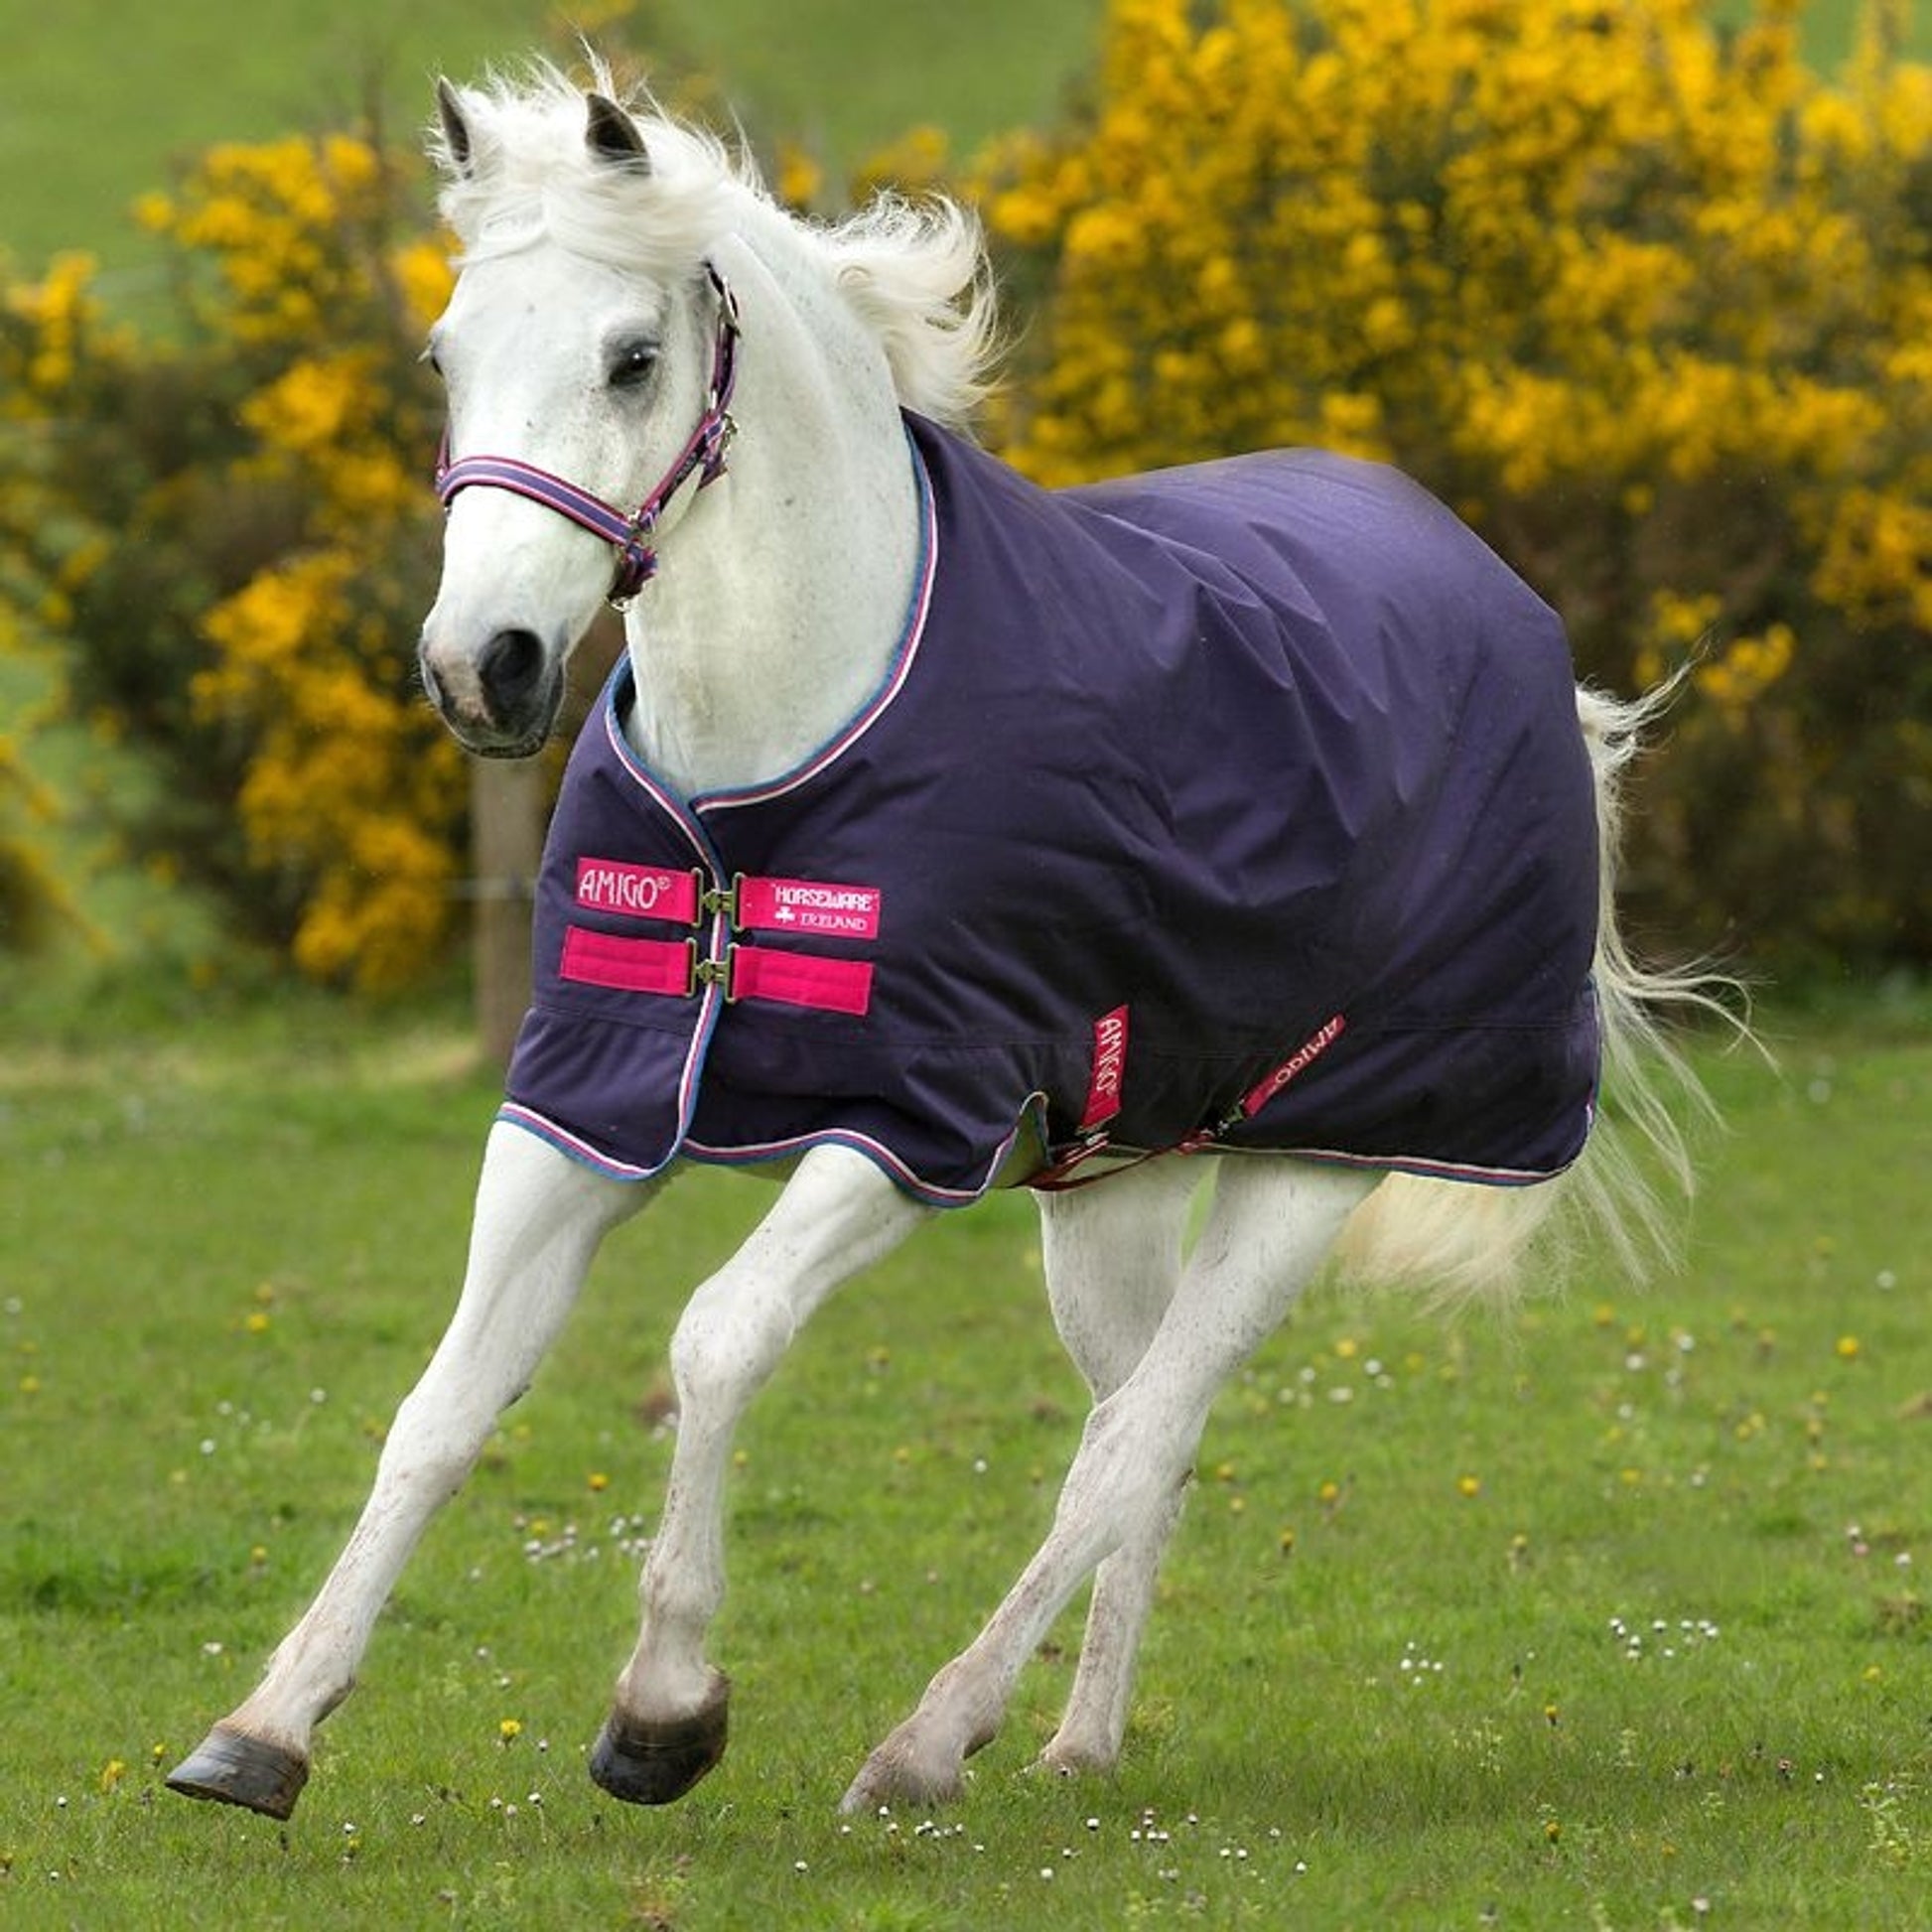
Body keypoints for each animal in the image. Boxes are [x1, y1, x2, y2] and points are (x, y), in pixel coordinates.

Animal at [166, 61, 1716, 1823]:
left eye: (631, 358)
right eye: (446, 356)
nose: (476, 669)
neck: (764, 789)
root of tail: (1517, 626)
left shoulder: (907, 1122)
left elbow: (715, 1341)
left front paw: (662, 1711)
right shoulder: (582, 1101)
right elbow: (441, 1403)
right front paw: (264, 1727)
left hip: (1317, 1165)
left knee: (1138, 1432)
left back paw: (926, 1737)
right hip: (1114, 1184)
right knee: (1134, 1433)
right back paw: (1072, 1738)